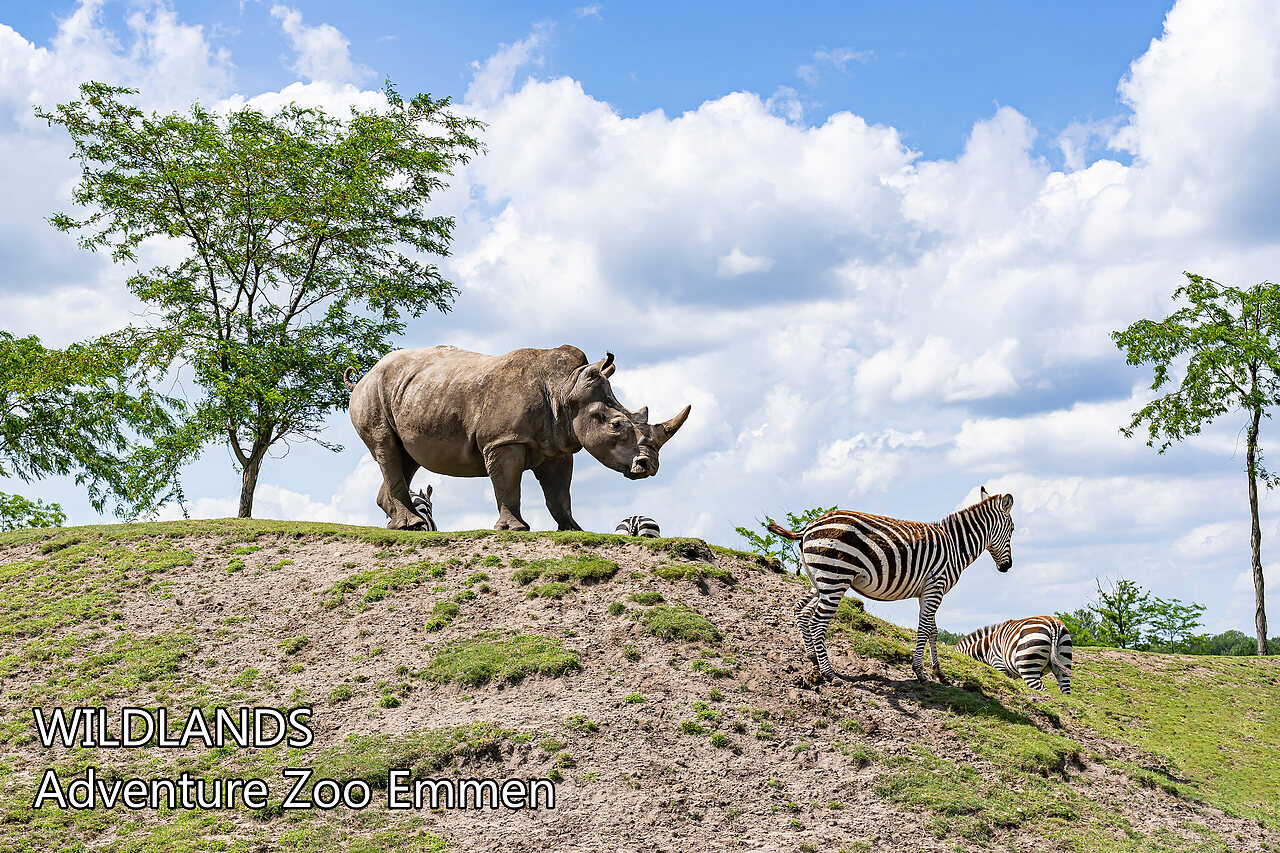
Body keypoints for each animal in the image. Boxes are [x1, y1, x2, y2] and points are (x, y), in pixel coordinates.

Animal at [346, 345, 691, 531]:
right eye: (617, 425)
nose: (648, 466)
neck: (566, 389)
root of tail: (363, 375)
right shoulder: (504, 440)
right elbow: (509, 484)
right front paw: (515, 529)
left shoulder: (559, 445)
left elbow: (559, 493)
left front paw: (573, 530)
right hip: (373, 391)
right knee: (386, 447)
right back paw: (412, 524)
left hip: (413, 391)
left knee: (406, 457)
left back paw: (404, 526)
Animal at [767, 487, 1015, 683]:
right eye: (1012, 531)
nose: (1007, 567)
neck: (956, 545)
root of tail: (809, 526)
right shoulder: (936, 587)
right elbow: (924, 629)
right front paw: (920, 672)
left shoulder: (929, 591)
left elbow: (933, 631)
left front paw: (939, 673)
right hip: (835, 578)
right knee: (817, 621)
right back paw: (830, 674)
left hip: (819, 580)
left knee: (801, 610)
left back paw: (813, 659)